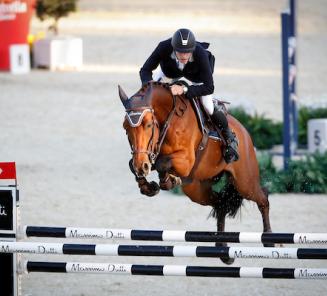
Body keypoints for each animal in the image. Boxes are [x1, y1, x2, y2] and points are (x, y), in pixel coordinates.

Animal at [119, 80, 272, 264]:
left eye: (148, 125)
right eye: (125, 127)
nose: (142, 166)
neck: (169, 118)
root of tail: (244, 131)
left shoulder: (185, 161)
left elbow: (163, 163)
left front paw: (168, 180)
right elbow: (134, 165)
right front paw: (149, 185)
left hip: (244, 182)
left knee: (262, 198)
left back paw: (270, 240)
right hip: (196, 189)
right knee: (220, 203)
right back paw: (223, 250)